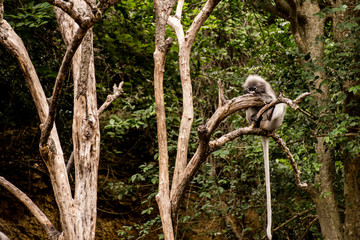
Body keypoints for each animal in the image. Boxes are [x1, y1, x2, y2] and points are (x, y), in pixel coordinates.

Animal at [243, 74, 286, 239]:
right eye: (248, 88)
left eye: (253, 88)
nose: (250, 92)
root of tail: (264, 130)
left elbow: (272, 99)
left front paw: (264, 99)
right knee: (251, 110)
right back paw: (255, 119)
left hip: (271, 124)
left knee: (280, 105)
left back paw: (266, 114)